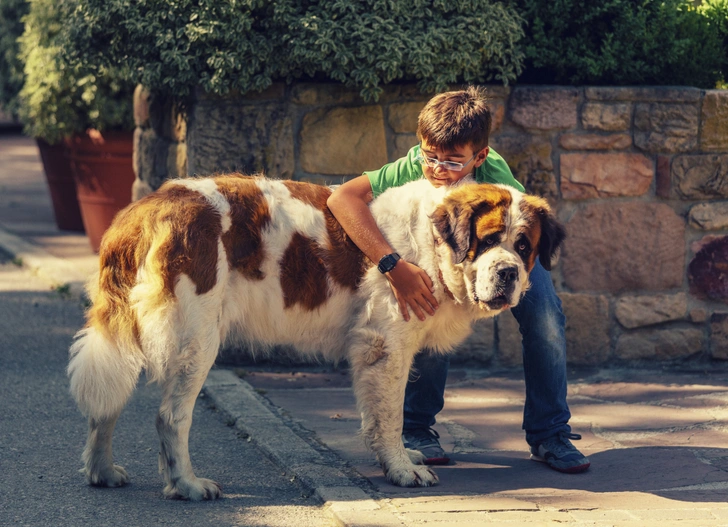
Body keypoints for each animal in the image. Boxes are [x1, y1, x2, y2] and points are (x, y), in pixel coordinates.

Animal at [68, 173, 564, 500]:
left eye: (524, 247)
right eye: (488, 240)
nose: (508, 273)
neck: (431, 244)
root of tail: (147, 207)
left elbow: (379, 415)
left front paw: (398, 457)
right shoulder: (387, 344)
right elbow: (392, 414)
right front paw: (403, 470)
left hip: (132, 330)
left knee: (107, 402)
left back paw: (102, 471)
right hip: (196, 338)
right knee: (171, 416)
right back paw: (187, 485)